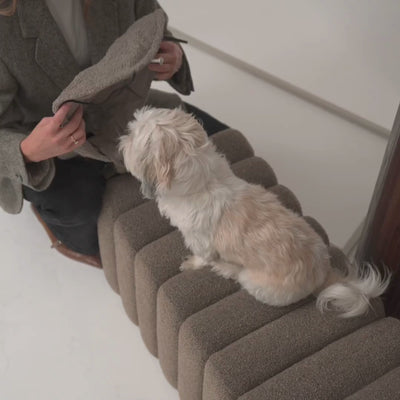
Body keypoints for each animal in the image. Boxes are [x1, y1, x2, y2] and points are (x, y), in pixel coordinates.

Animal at [119, 106, 390, 318]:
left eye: (133, 137)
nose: (122, 138)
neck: (204, 179)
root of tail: (321, 273)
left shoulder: (200, 241)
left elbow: (201, 257)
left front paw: (192, 264)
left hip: (254, 280)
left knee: (239, 276)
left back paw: (226, 268)